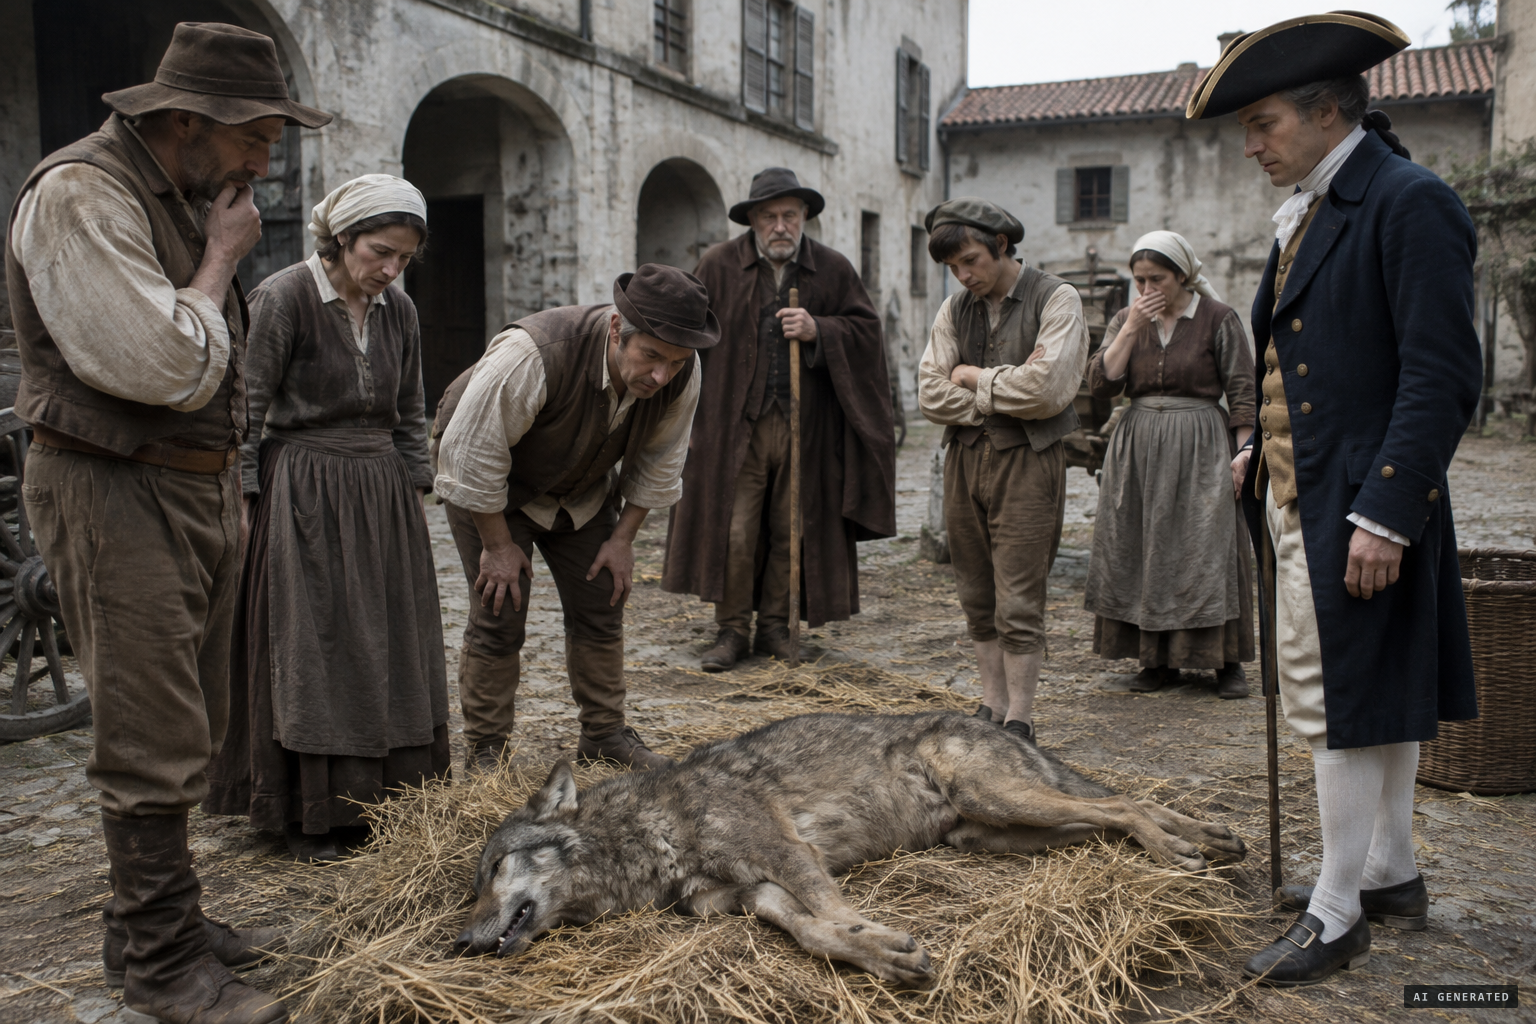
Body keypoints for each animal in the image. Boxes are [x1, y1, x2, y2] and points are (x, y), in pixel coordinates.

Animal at [455, 711, 1245, 987]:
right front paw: (881, 955)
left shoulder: (787, 855)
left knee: (1121, 803)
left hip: (1003, 803)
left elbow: (831, 909)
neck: (644, 834)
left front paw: (883, 940)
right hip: (995, 832)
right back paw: (1206, 837)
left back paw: (1179, 848)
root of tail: (1000, 727)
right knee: (1109, 814)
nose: (460, 942)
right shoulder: (755, 895)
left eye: (495, 869)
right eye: (476, 883)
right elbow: (817, 931)